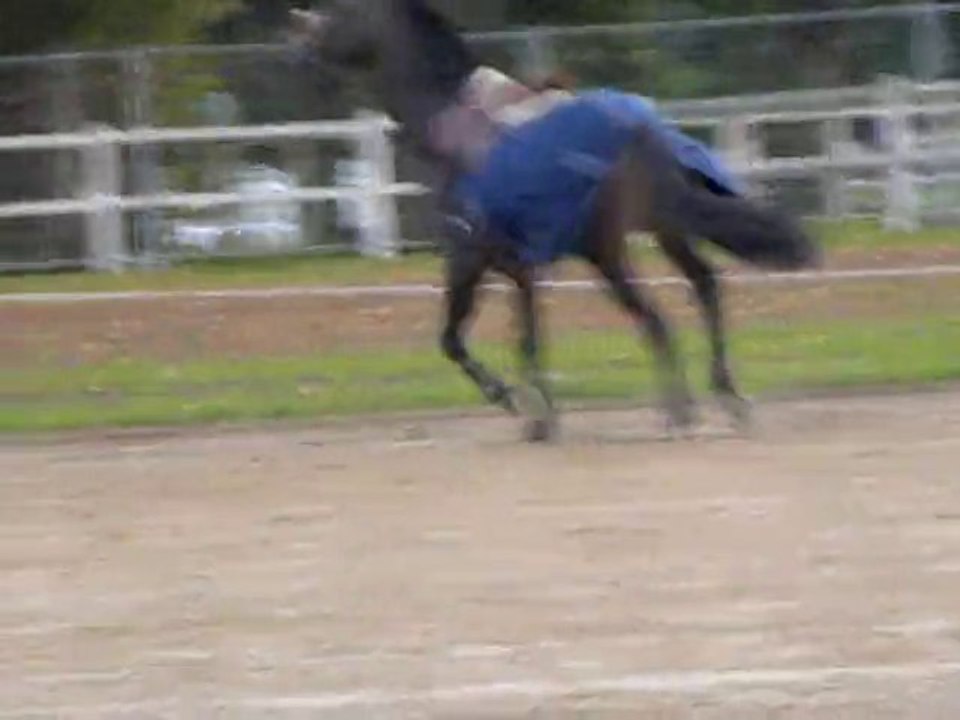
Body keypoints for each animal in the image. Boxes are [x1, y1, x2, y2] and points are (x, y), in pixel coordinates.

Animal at [289, 0, 821, 442]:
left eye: (344, 10)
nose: (300, 36)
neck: (452, 129)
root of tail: (647, 135)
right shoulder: (517, 267)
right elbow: (526, 335)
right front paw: (541, 415)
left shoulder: (470, 255)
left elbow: (457, 339)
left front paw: (517, 405)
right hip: (663, 232)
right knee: (704, 287)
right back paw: (726, 397)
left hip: (607, 252)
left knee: (655, 317)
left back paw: (681, 410)